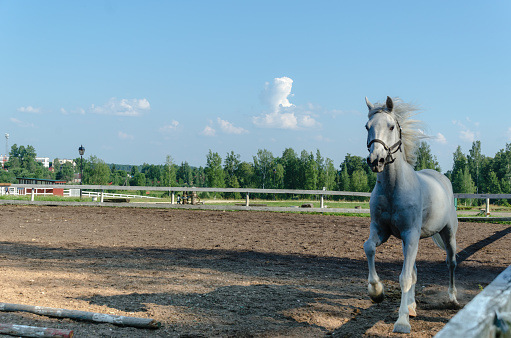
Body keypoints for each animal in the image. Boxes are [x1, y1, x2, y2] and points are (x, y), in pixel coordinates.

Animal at [364, 96, 460, 334]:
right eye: (367, 127)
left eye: (390, 126)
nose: (376, 160)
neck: (393, 188)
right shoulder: (382, 231)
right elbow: (369, 247)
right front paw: (377, 292)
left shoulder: (411, 234)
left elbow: (405, 277)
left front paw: (402, 322)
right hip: (410, 240)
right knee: (416, 269)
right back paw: (412, 307)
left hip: (447, 234)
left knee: (451, 263)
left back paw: (452, 299)